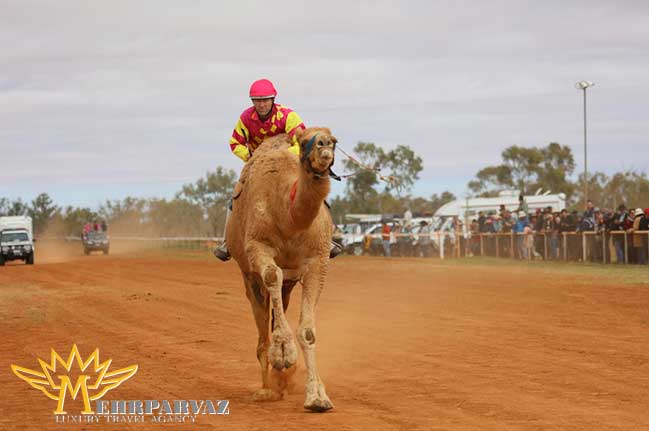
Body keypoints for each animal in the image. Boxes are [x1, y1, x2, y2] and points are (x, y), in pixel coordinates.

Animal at [225, 127, 336, 412]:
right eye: (305, 140)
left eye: (334, 139)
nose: (323, 146)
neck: (288, 217)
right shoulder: (258, 246)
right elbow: (272, 274)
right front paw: (283, 354)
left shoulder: (318, 259)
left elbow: (308, 331)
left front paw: (317, 396)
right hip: (248, 275)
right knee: (262, 323)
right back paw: (267, 388)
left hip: (289, 282)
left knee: (279, 306)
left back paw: (281, 382)